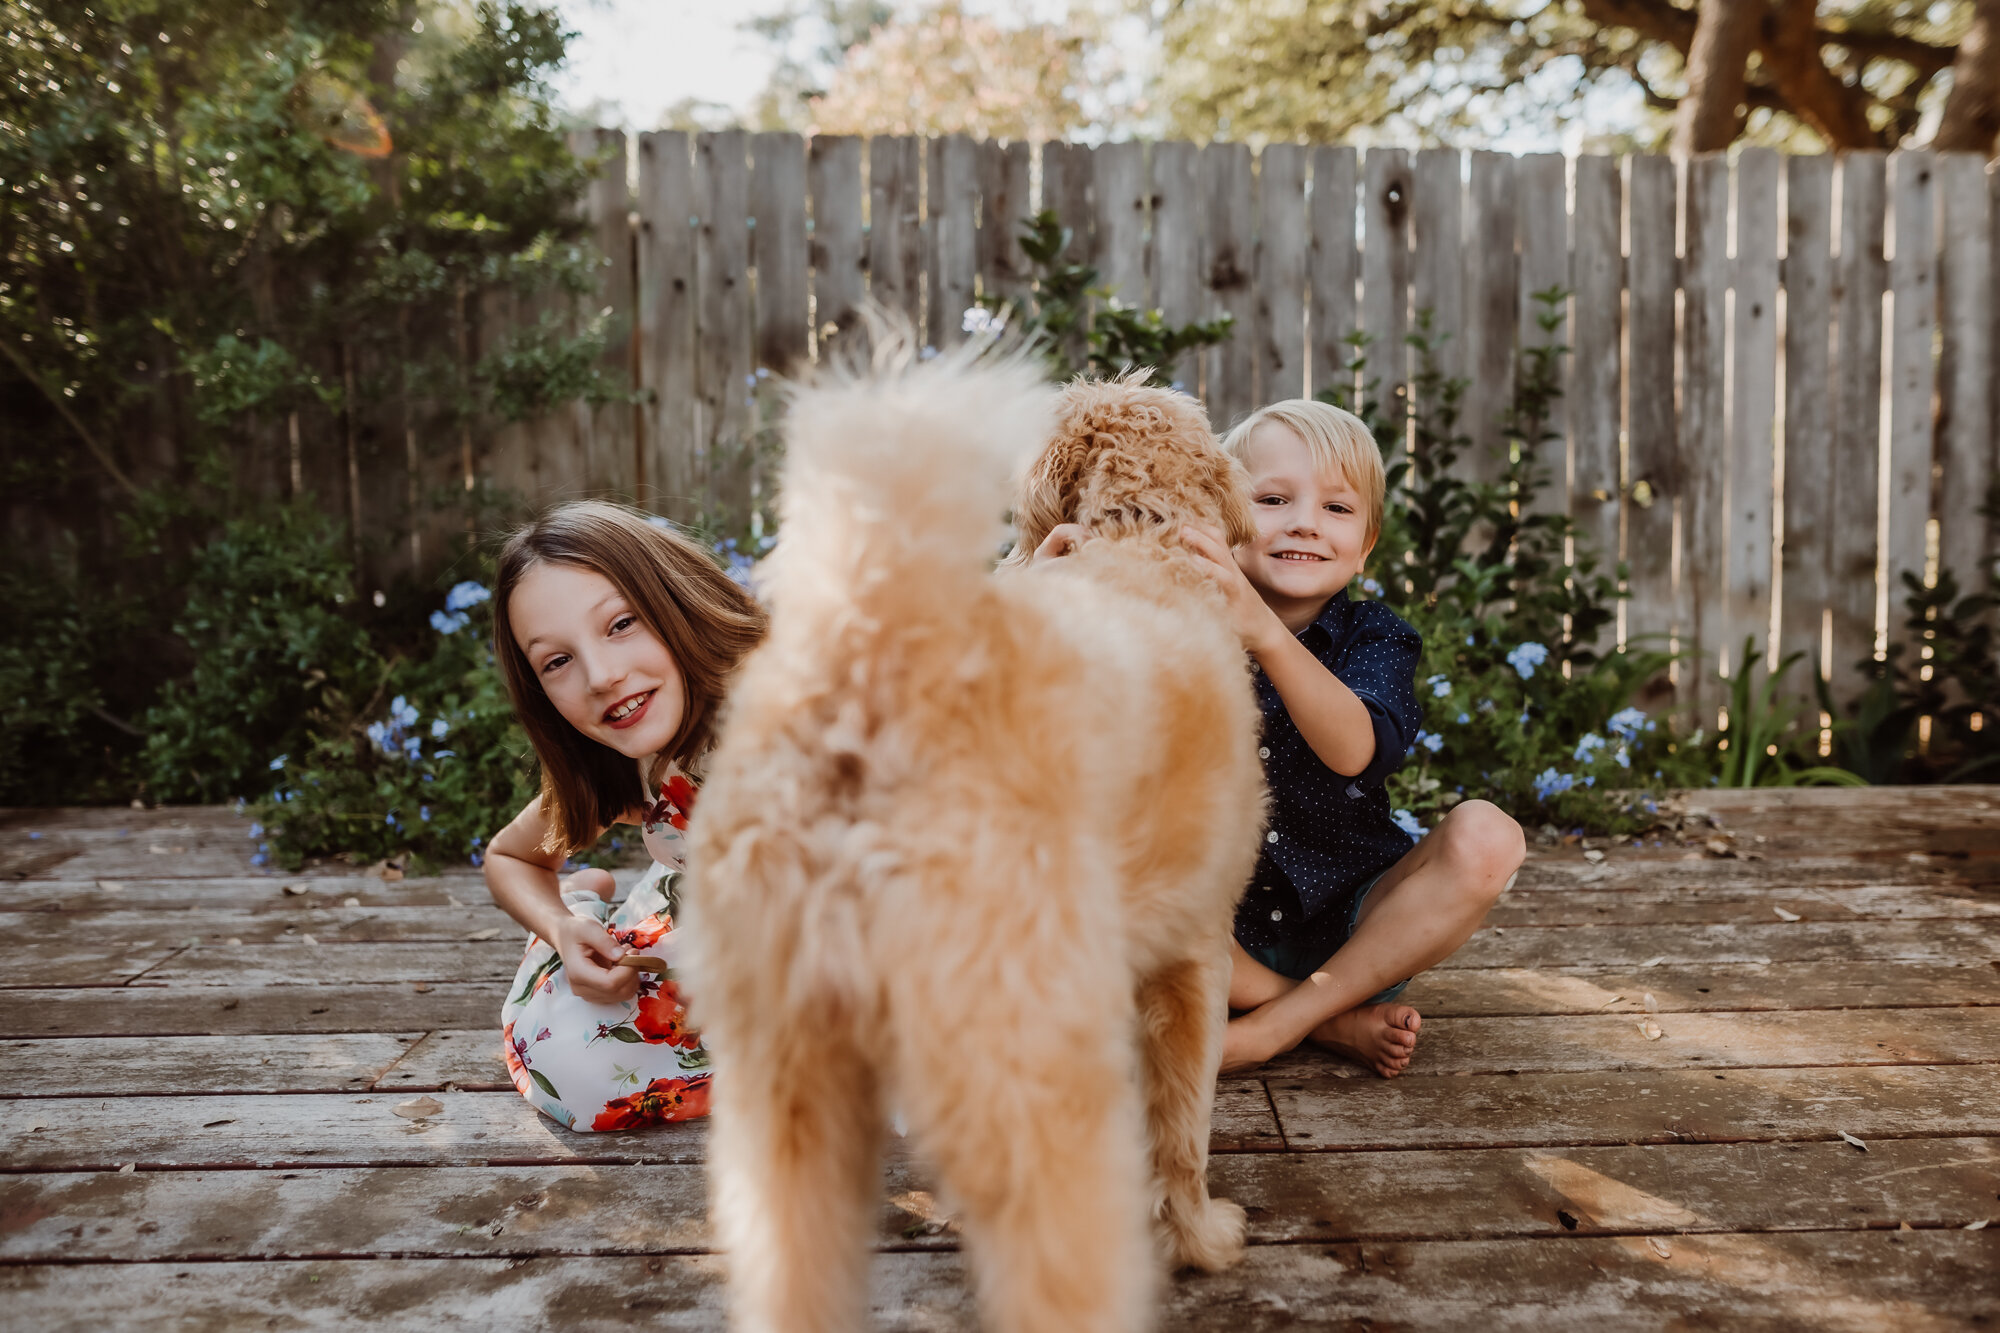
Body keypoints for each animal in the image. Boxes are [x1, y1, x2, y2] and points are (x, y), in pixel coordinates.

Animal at [688, 344, 1264, 1328]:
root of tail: (877, 663)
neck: (1139, 539)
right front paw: (1200, 1239)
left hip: (787, 1096)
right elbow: (1183, 1129)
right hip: (1031, 1071)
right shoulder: (1196, 958)